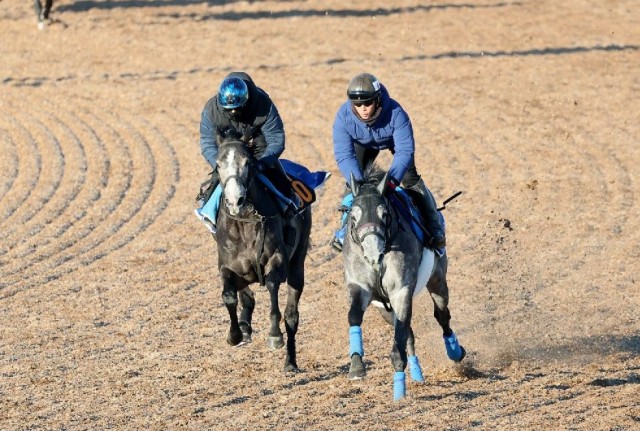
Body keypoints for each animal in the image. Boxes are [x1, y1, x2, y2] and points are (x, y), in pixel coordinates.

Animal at [214, 133, 312, 372]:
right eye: (218, 164)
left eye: (247, 163)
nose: (235, 200)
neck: (244, 222)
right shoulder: (228, 267)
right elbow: (229, 296)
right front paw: (235, 334)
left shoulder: (277, 259)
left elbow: (271, 285)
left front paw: (275, 335)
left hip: (298, 264)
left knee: (292, 316)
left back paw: (290, 362)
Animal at [342, 164, 462, 400]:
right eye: (353, 215)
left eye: (385, 214)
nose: (373, 254)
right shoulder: (361, 288)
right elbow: (353, 317)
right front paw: (357, 366)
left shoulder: (401, 291)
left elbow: (399, 340)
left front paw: (398, 391)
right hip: (384, 309)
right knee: (408, 333)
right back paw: (416, 373)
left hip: (437, 279)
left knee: (442, 316)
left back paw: (454, 351)